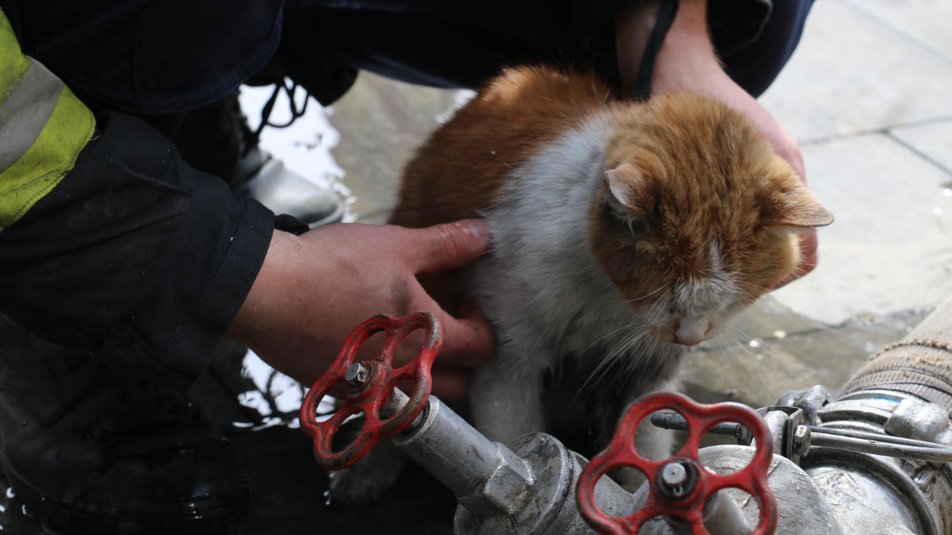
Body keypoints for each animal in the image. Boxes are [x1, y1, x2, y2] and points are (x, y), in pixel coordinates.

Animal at [330, 65, 832, 504]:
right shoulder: (507, 355)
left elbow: (649, 437)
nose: (690, 337)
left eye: (729, 303)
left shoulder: (654, 366)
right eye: (663, 298)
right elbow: (511, 438)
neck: (608, 300)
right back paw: (366, 471)